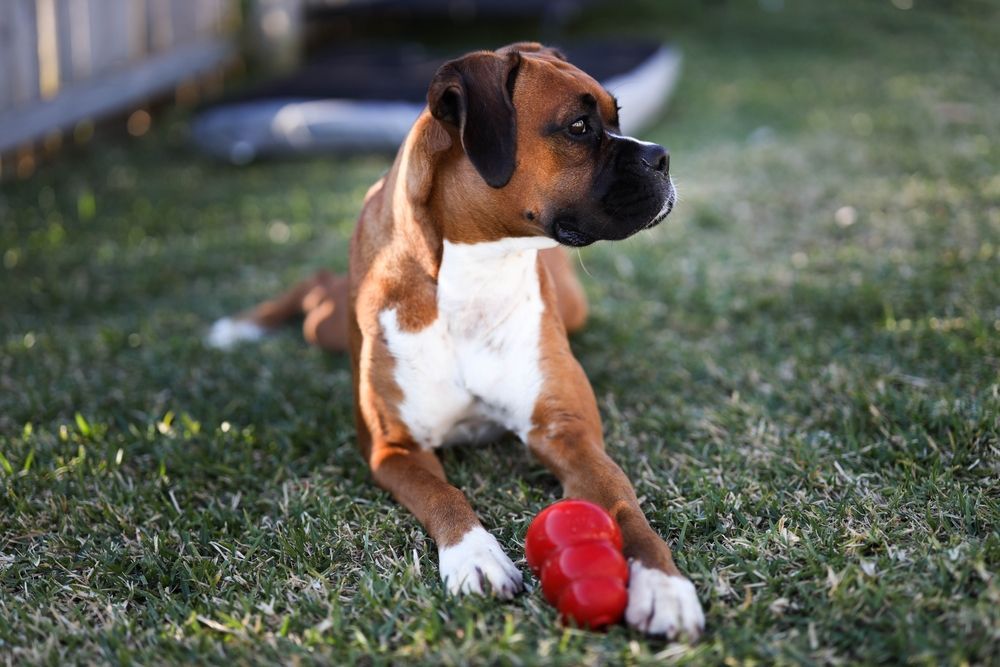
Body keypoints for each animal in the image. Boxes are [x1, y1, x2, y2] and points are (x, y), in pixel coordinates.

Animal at [209, 43, 704, 640]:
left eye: (617, 117)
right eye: (579, 127)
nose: (662, 157)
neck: (477, 273)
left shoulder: (569, 434)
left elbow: (625, 507)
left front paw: (662, 583)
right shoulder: (394, 448)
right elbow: (443, 494)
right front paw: (475, 556)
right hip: (329, 323)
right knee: (317, 289)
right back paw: (240, 327)